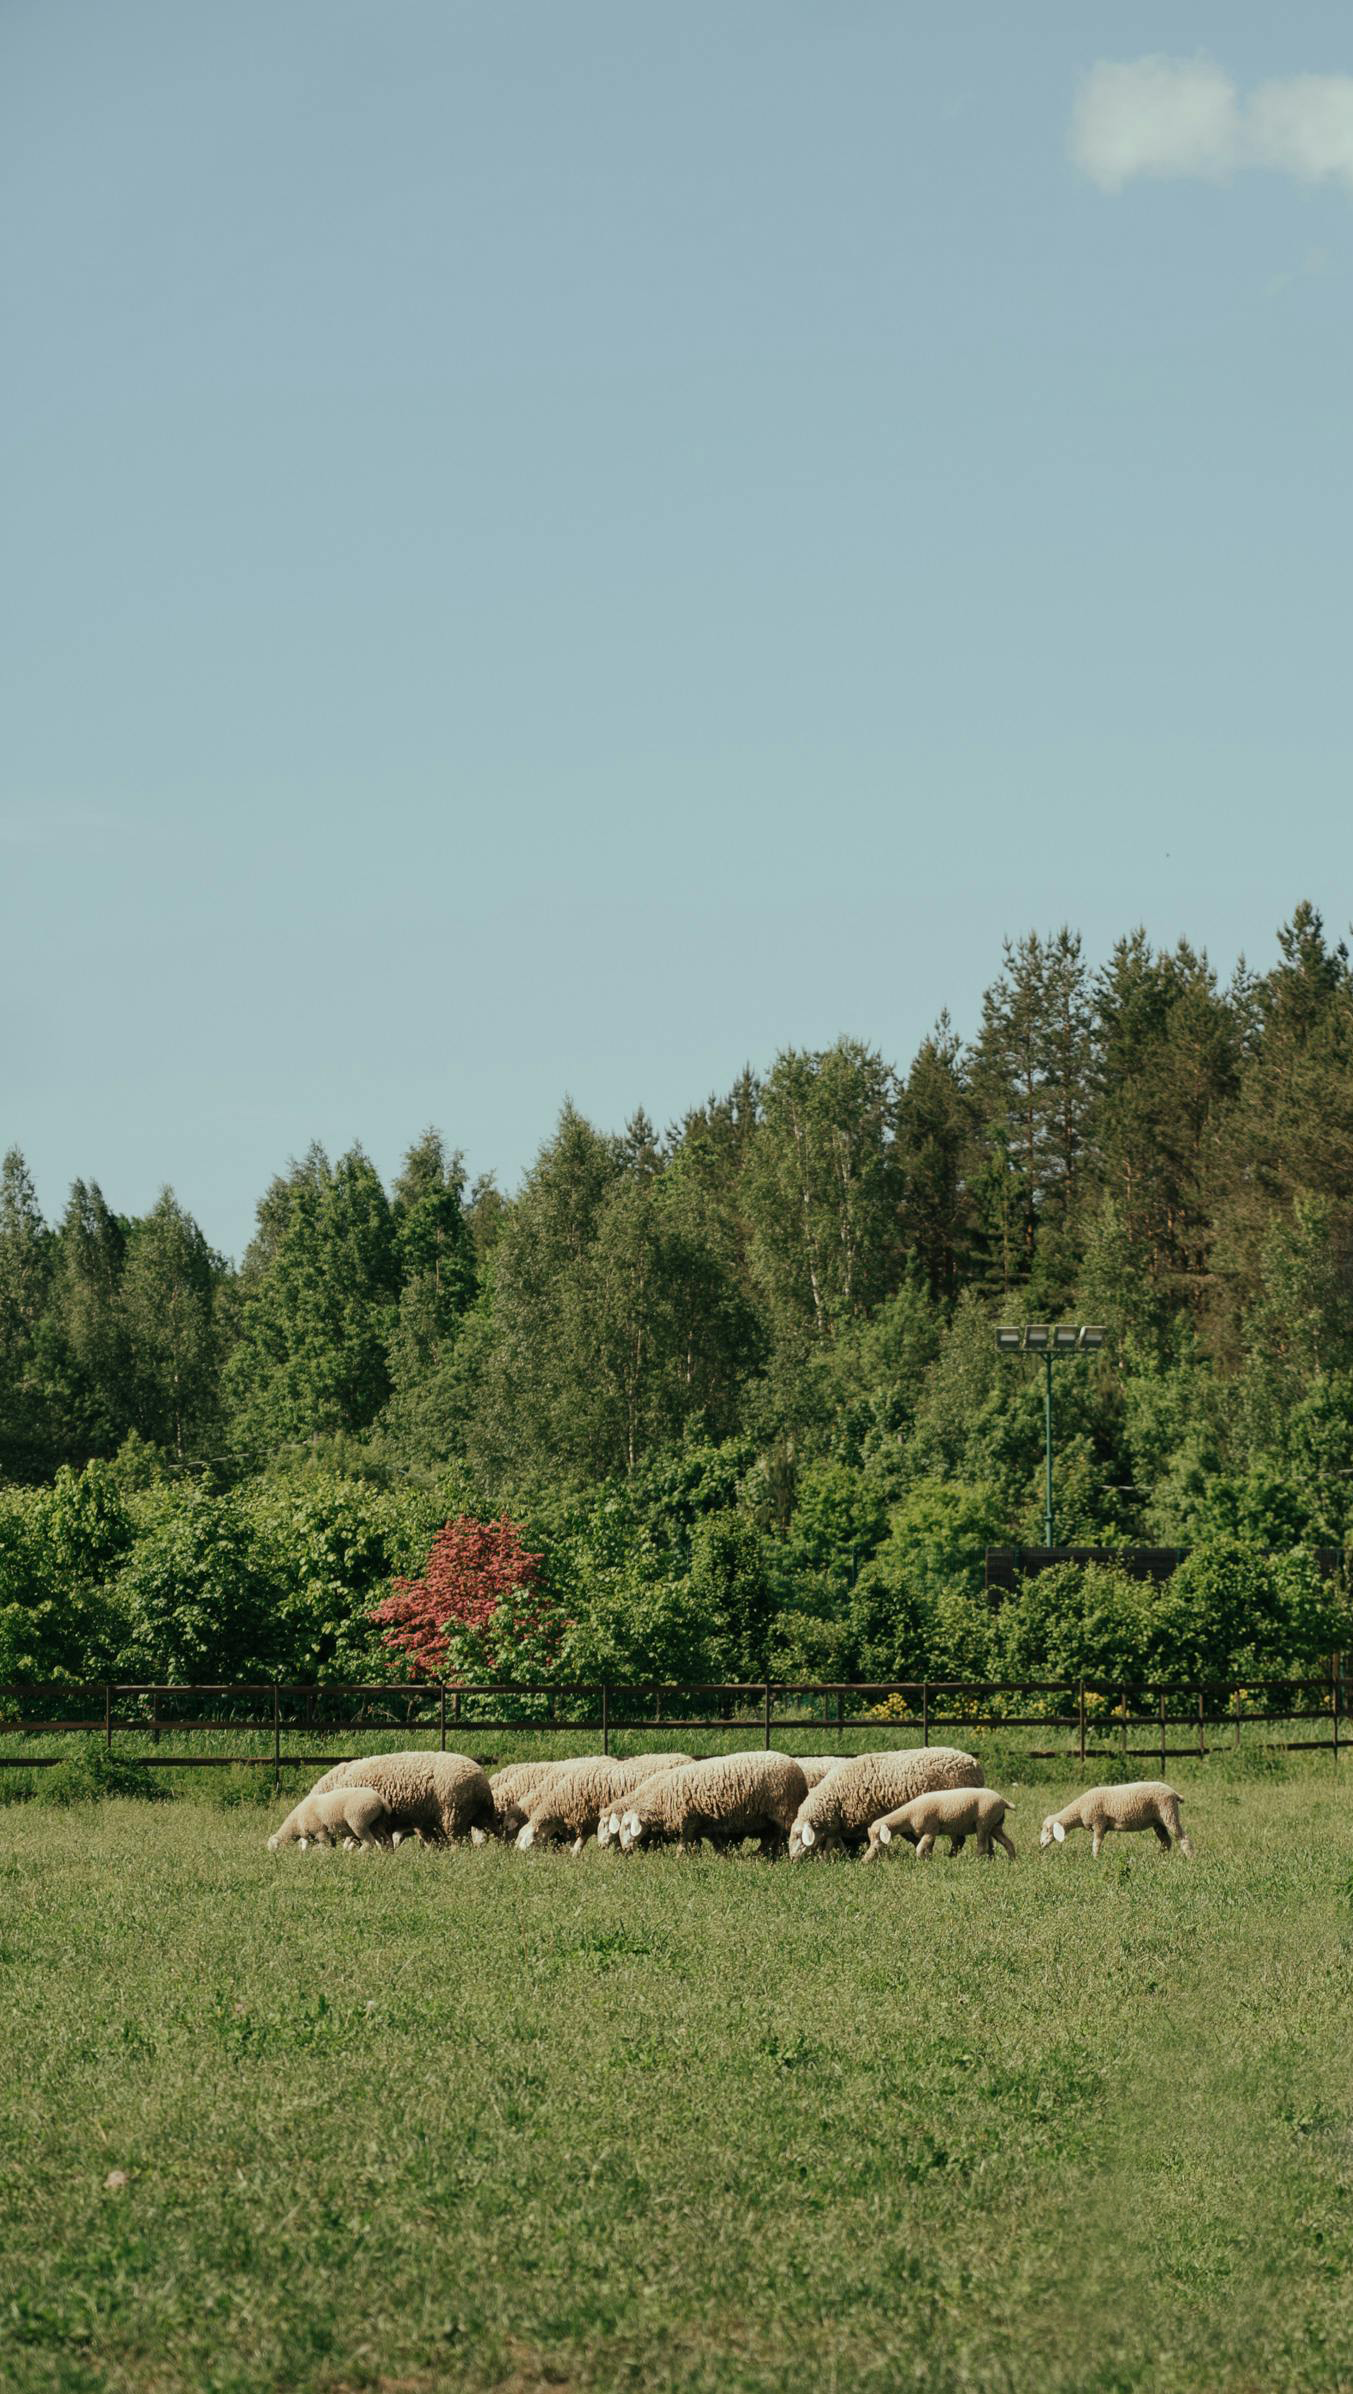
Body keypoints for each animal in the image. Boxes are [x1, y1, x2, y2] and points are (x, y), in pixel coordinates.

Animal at [610, 1751, 808, 1858]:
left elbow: (683, 1842)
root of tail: (796, 1767)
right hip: (769, 1818)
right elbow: (716, 1844)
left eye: (627, 1826)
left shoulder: (688, 1821)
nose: (625, 1849)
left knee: (786, 1833)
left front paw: (679, 1858)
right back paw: (760, 1855)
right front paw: (722, 1858)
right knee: (771, 1836)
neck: (661, 1798)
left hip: (784, 1810)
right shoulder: (709, 1823)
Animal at [790, 1746, 983, 1858]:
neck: (835, 1796)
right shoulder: (835, 1825)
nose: (792, 1858)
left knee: (959, 1839)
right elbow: (832, 1842)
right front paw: (829, 1859)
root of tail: (974, 1763)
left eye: (799, 1835)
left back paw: (951, 1857)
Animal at [865, 1786, 1016, 1862]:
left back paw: (973, 1860)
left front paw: (922, 1862)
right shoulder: (929, 1832)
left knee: (982, 1847)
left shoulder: (931, 1829)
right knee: (1007, 1842)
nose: (864, 1861)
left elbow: (919, 1848)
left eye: (877, 1847)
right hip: (995, 1824)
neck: (909, 1815)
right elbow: (927, 1848)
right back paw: (1012, 1860)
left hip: (983, 1821)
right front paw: (929, 1859)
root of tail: (1003, 1800)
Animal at [1039, 1781, 1193, 1859]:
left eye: (1047, 1829)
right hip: (1158, 1822)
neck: (1080, 1808)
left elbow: (1096, 1843)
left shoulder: (1099, 1822)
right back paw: (1159, 1858)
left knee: (1183, 1837)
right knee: (1166, 1841)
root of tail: (1174, 1793)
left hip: (1168, 1812)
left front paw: (1095, 1858)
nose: (1040, 1845)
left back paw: (1190, 1858)